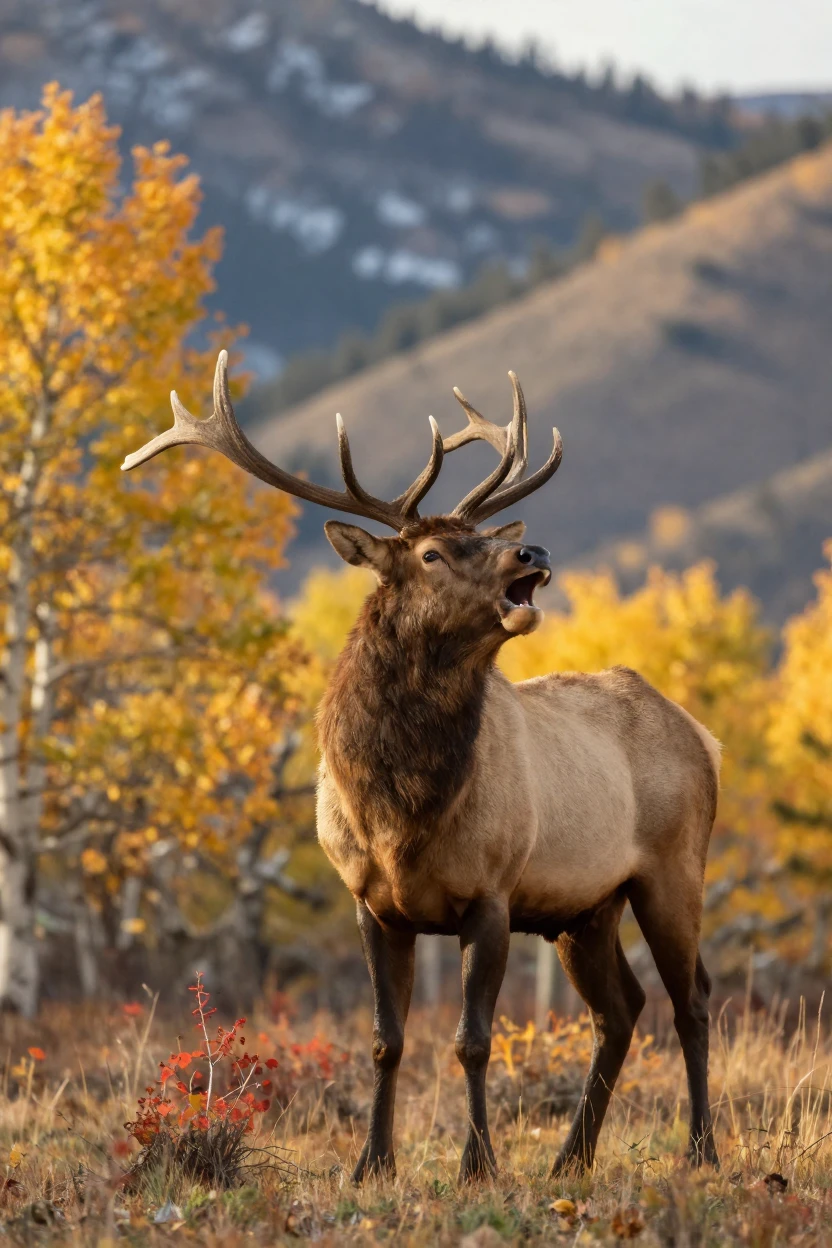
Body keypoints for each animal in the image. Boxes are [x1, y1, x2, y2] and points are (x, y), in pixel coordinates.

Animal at [123, 351, 721, 1182]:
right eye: (432, 552)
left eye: (486, 536)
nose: (532, 553)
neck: (400, 811)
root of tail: (702, 734)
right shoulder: (370, 901)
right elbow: (386, 1039)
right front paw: (372, 1162)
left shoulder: (493, 892)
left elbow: (473, 1041)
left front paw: (478, 1165)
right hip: (585, 907)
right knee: (622, 1009)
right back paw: (570, 1160)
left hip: (673, 867)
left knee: (691, 999)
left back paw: (700, 1151)